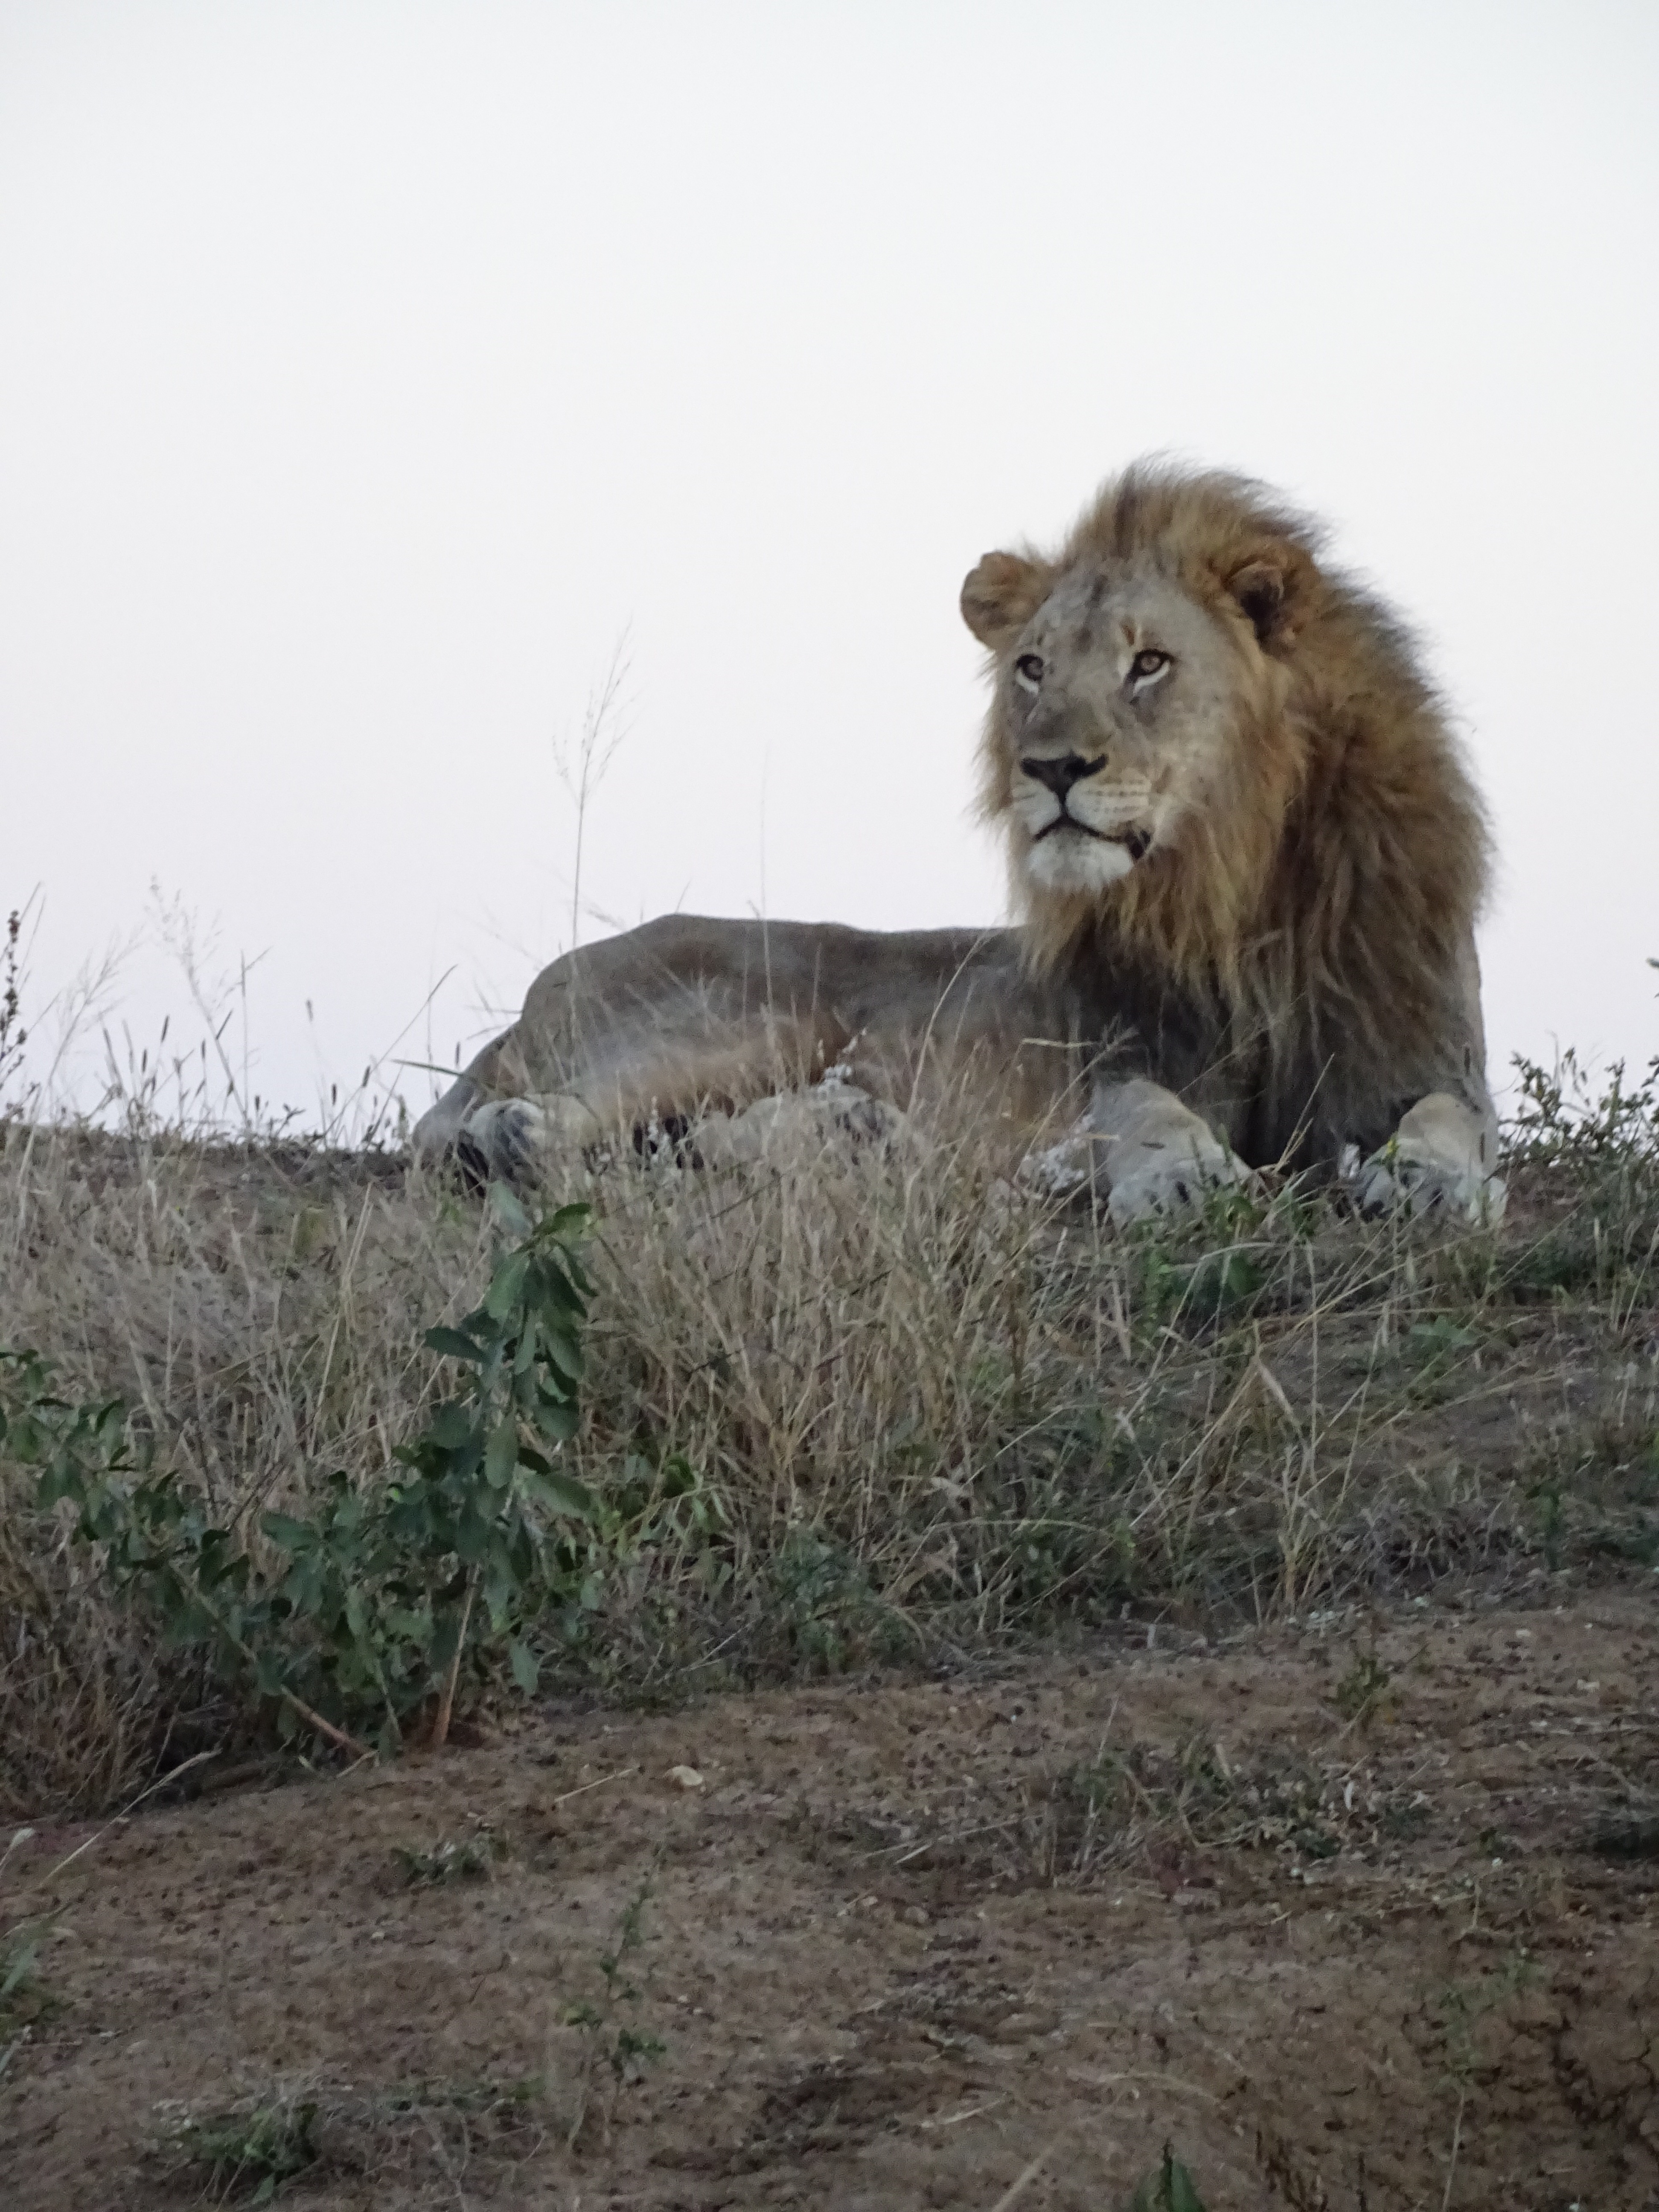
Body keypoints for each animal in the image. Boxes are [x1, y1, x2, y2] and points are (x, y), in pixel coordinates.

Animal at [412, 462, 1504, 1222]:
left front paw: (1426, 1181)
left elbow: (1454, 1123)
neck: (1232, 891)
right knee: (508, 1125)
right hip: (756, 1013)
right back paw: (530, 1136)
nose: (1051, 768)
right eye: (1031, 667)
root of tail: (539, 990)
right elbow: (1145, 1110)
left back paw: (858, 1136)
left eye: (1149, 663)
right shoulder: (1116, 1055)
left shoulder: (1423, 1054)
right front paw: (1179, 1176)